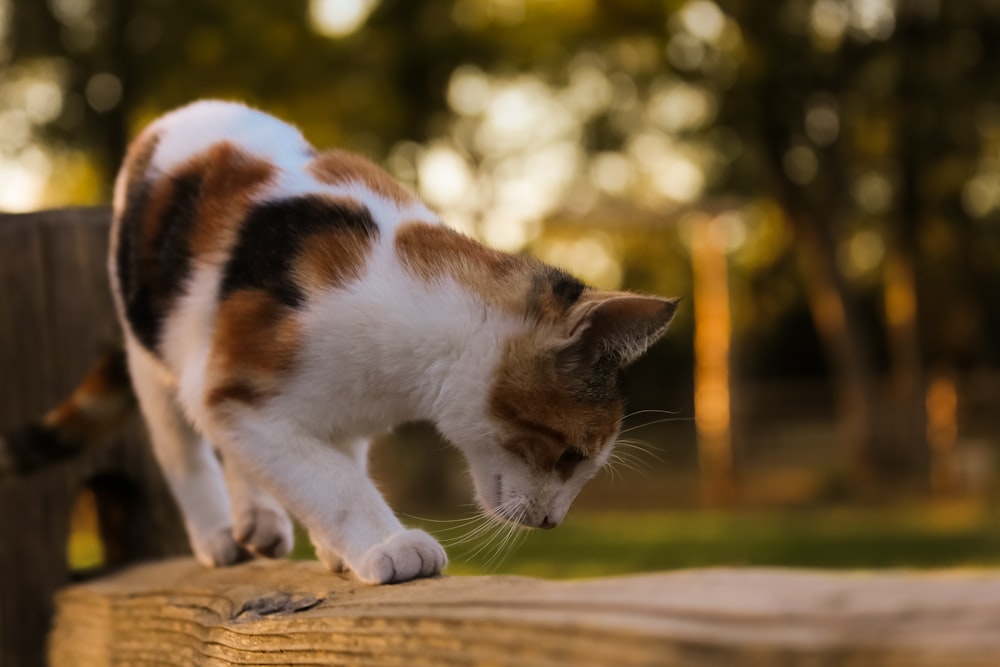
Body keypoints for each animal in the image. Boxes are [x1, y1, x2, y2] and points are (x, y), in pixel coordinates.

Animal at [107, 99, 680, 584]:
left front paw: (339, 547)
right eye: (570, 456)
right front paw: (388, 545)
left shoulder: (335, 417)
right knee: (182, 445)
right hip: (154, 347)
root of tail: (186, 111)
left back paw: (258, 518)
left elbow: (323, 467)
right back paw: (218, 536)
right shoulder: (235, 393)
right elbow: (331, 480)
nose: (552, 523)